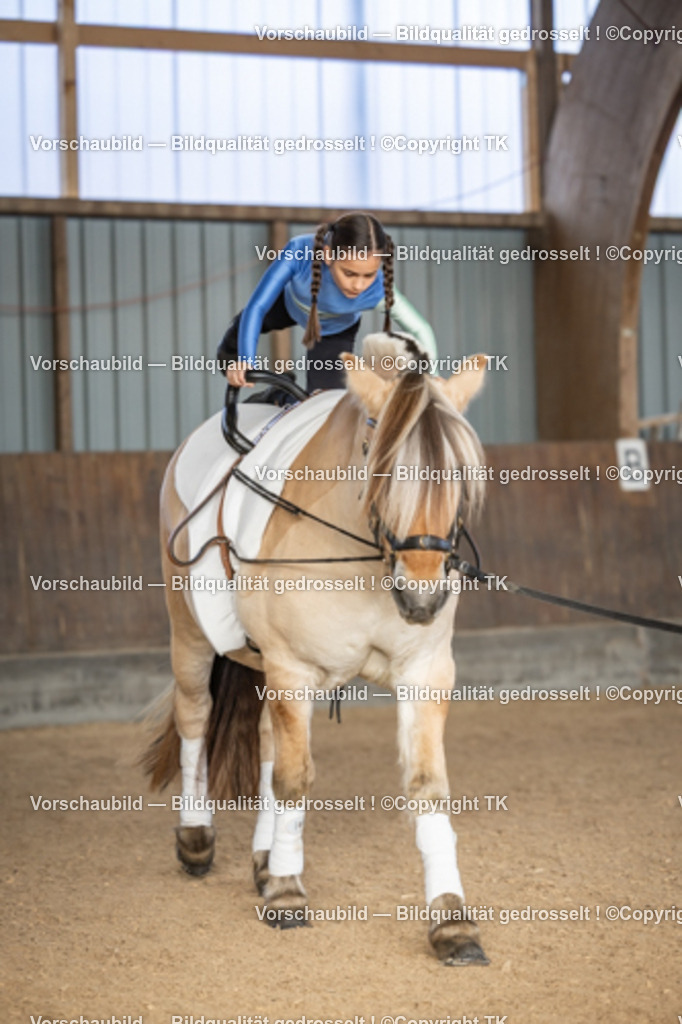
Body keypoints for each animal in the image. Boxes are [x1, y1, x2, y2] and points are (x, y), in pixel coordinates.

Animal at [143, 333, 489, 965]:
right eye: (382, 463)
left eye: (460, 472)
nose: (422, 595)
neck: (362, 555)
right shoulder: (294, 667)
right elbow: (295, 779)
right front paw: (286, 894)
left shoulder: (425, 672)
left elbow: (427, 787)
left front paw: (452, 921)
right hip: (192, 636)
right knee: (195, 718)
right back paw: (197, 839)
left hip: (264, 666)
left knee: (264, 741)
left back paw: (262, 857)